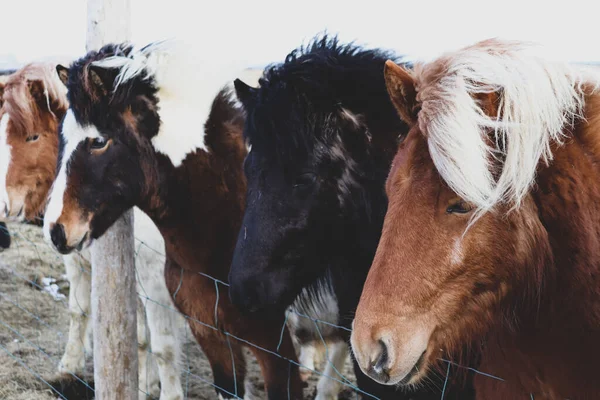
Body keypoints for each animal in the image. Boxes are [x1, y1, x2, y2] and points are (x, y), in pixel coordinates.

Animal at [0, 61, 185, 400]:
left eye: (33, 137)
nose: (4, 205)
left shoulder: (149, 278)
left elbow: (152, 341)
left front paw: (148, 385)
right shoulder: (78, 260)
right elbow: (81, 311)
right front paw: (70, 365)